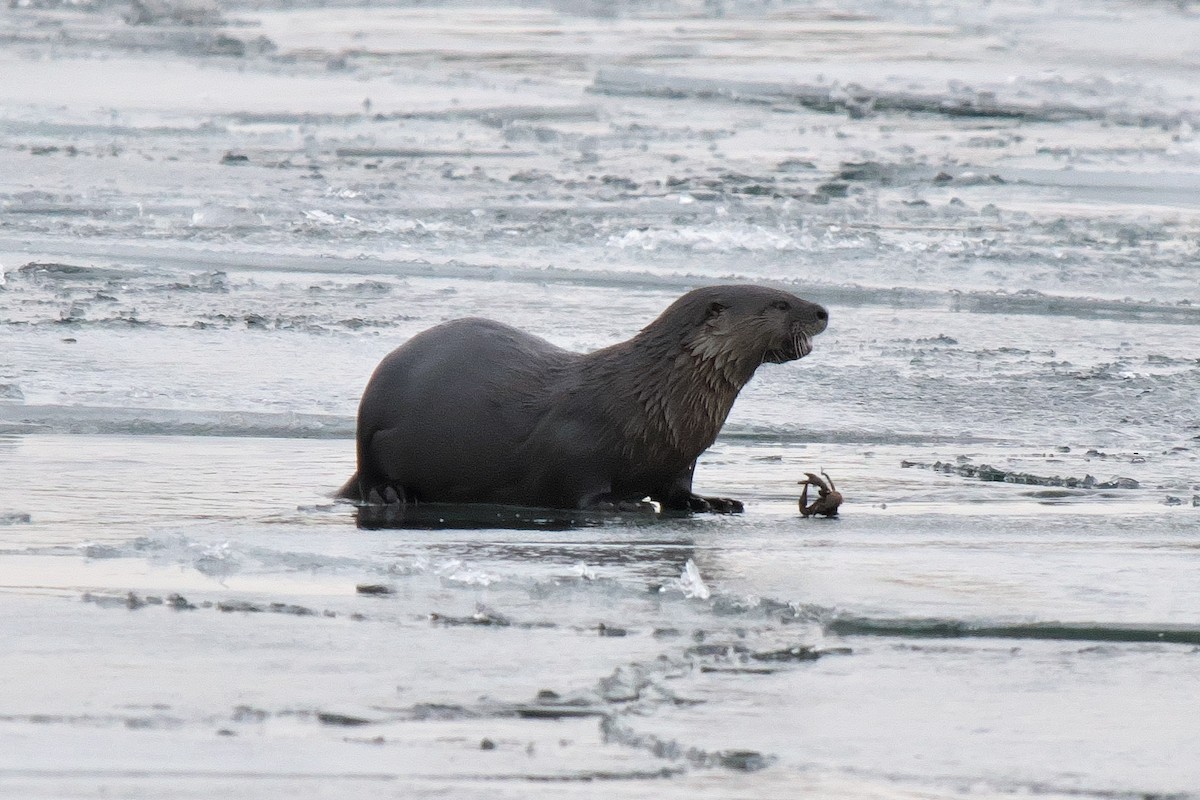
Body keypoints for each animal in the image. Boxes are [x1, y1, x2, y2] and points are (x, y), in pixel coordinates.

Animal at [339, 285, 827, 513]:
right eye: (780, 303)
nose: (823, 311)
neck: (655, 398)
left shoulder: (680, 456)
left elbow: (677, 491)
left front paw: (713, 502)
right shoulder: (576, 447)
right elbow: (578, 489)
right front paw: (623, 502)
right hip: (374, 435)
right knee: (370, 478)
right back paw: (392, 494)